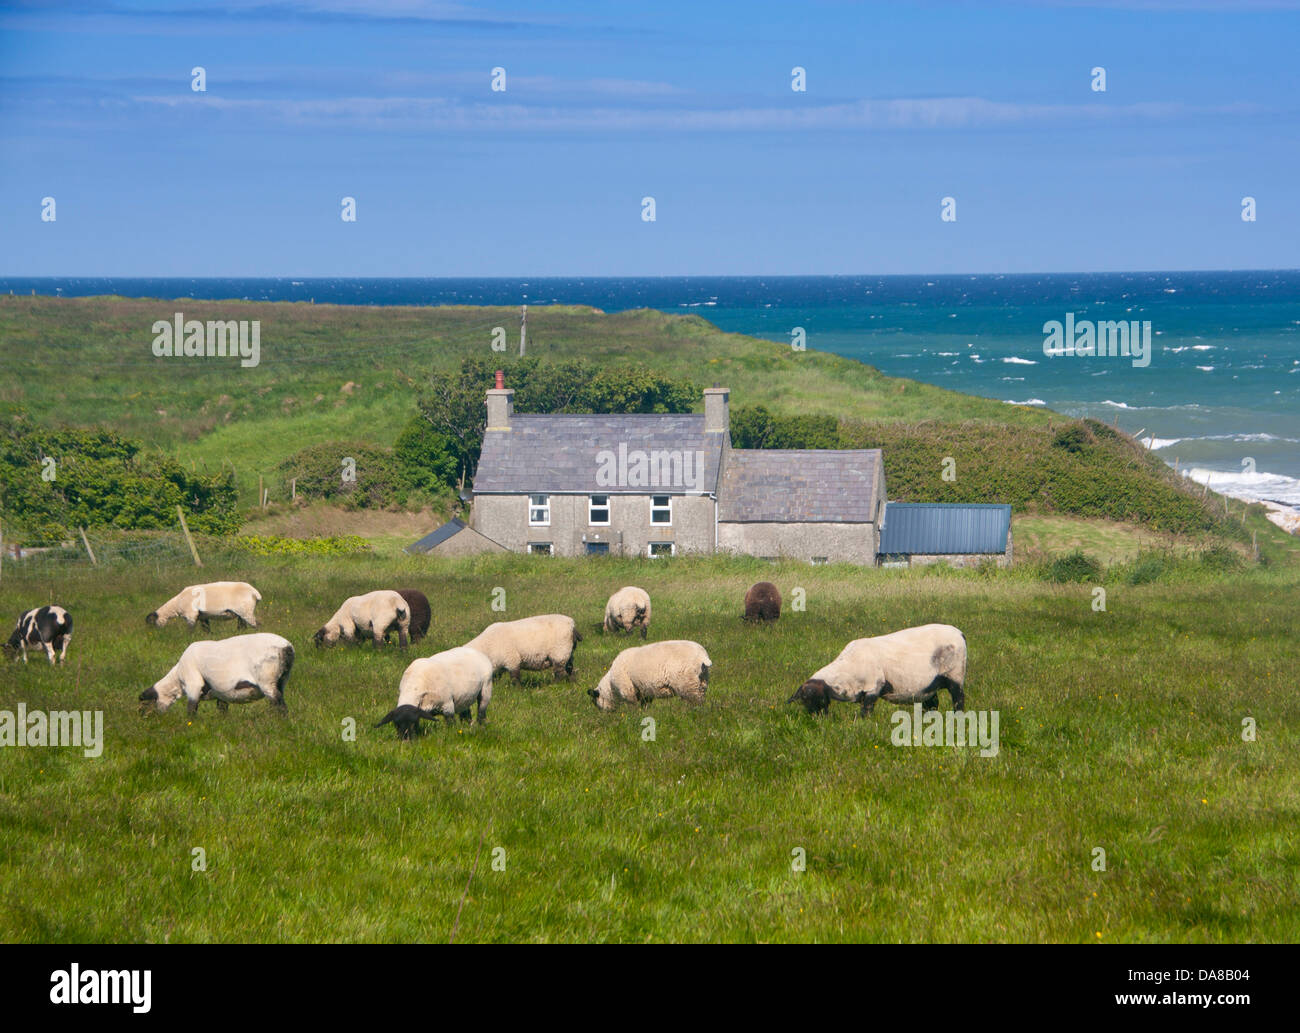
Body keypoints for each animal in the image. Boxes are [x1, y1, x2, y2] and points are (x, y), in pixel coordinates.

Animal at [141, 631, 296, 717]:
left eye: (145, 704)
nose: (143, 719)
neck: (178, 678)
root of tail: (286, 647)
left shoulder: (193, 684)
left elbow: (191, 708)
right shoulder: (222, 693)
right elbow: (222, 708)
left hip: (266, 679)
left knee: (278, 702)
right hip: (283, 678)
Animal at [780, 621, 967, 717]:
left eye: (820, 699)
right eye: (804, 701)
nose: (817, 720)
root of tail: (960, 633)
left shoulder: (873, 686)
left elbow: (867, 710)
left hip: (956, 674)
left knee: (958, 699)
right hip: (929, 684)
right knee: (932, 702)